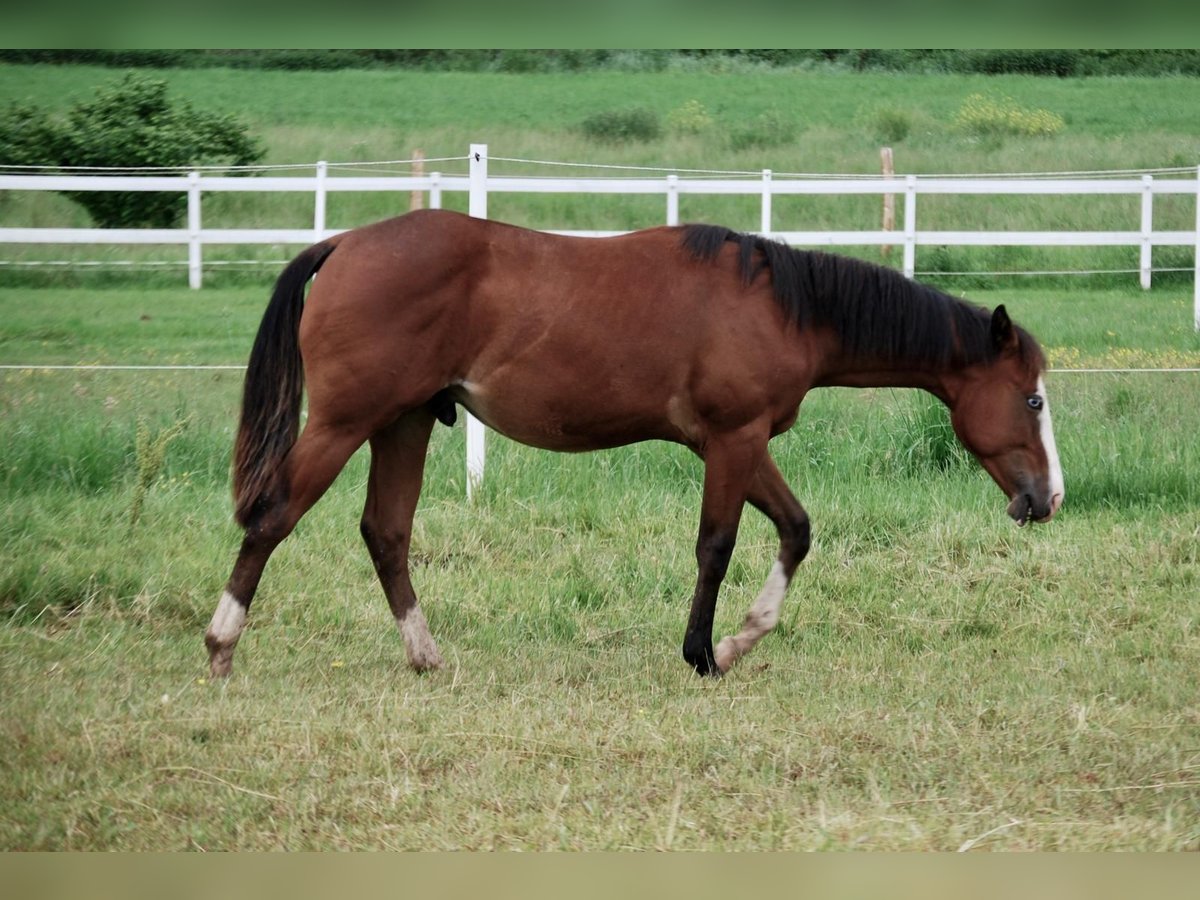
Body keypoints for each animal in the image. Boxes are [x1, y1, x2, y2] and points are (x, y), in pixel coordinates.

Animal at [201, 210, 1065, 676]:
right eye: (1031, 397)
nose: (1048, 497)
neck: (779, 305)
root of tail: (345, 243)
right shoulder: (732, 441)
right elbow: (716, 544)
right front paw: (703, 654)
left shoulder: (742, 444)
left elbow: (795, 530)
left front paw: (742, 639)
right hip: (344, 423)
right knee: (272, 517)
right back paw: (220, 645)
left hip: (403, 423)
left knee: (386, 533)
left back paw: (425, 655)